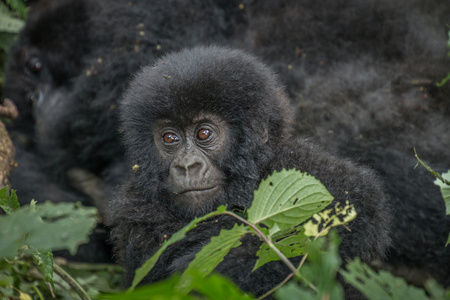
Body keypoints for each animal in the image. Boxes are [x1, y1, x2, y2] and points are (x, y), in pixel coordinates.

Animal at [108, 47, 390, 298]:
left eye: (204, 133)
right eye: (169, 138)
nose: (187, 165)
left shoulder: (300, 164)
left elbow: (352, 199)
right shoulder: (136, 212)